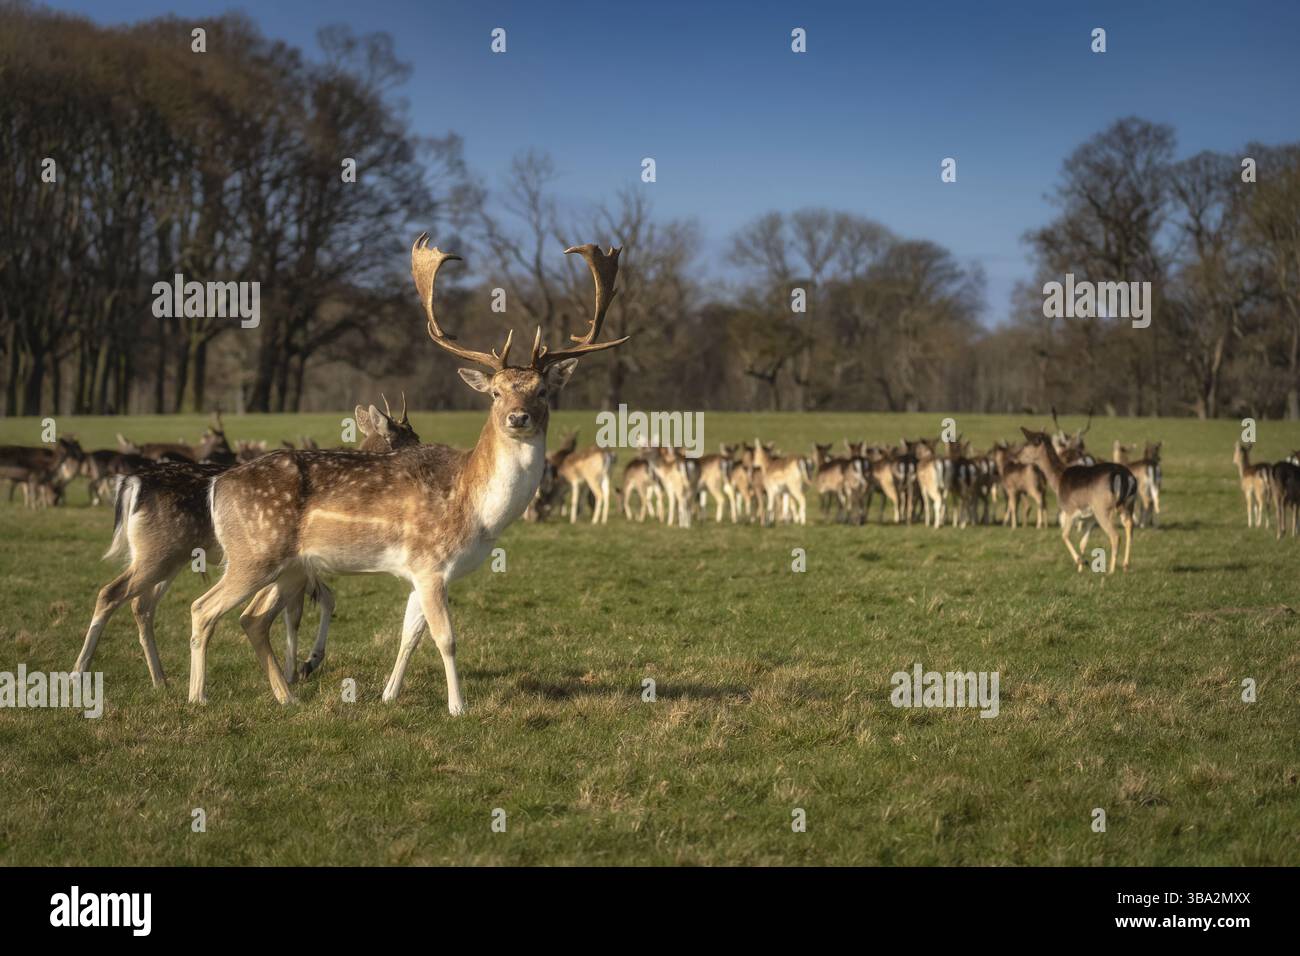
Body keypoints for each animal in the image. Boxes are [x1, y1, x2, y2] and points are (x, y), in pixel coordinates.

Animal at [183, 236, 628, 711]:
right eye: (495, 392)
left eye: (542, 391)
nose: (518, 417)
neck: (476, 509)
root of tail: (217, 484)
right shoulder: (430, 563)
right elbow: (445, 638)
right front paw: (458, 707)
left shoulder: (421, 571)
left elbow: (409, 635)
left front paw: (388, 695)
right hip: (254, 553)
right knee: (203, 608)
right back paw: (198, 697)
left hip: (289, 567)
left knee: (252, 619)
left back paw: (287, 697)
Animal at [1018, 427, 1137, 572]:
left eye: (1027, 444)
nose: (1016, 457)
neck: (1058, 480)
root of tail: (1124, 476)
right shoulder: (1090, 517)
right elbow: (1082, 542)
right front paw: (1081, 568)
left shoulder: (1070, 511)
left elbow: (1064, 535)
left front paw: (1081, 561)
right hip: (1129, 505)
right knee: (1130, 528)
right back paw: (1125, 565)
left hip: (1103, 509)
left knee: (1115, 536)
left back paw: (1110, 571)